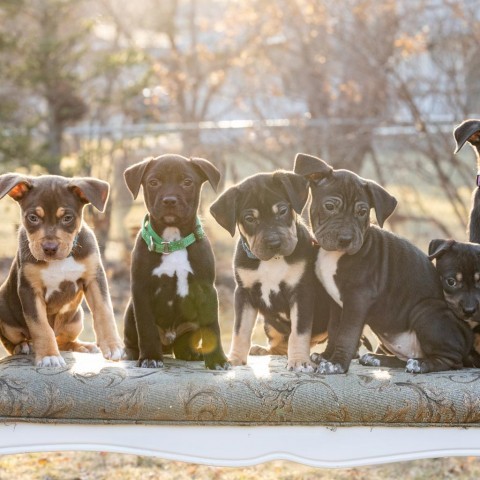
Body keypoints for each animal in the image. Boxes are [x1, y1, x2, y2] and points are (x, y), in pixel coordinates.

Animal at [0, 174, 124, 366]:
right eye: (33, 218)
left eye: (67, 218)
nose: (50, 248)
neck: (60, 261)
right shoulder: (29, 290)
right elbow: (41, 326)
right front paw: (49, 355)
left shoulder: (95, 279)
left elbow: (105, 312)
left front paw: (112, 346)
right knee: (13, 342)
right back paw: (23, 346)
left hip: (77, 319)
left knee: (63, 341)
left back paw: (83, 346)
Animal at [123, 152, 230, 370]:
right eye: (153, 182)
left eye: (187, 182)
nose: (170, 200)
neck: (172, 241)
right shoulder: (141, 290)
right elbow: (146, 327)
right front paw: (150, 357)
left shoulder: (207, 290)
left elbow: (212, 327)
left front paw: (217, 360)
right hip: (130, 310)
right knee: (133, 339)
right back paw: (131, 353)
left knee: (183, 344)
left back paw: (191, 353)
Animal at [210, 171, 334, 374]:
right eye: (250, 219)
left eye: (282, 211)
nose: (274, 243)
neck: (272, 261)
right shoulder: (244, 293)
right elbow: (240, 330)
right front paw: (235, 359)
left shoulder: (302, 293)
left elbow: (299, 332)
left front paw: (299, 361)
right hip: (269, 322)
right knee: (279, 346)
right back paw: (261, 350)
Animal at [292, 154, 472, 376]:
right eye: (330, 207)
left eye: (362, 212)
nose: (345, 239)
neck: (334, 255)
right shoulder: (336, 301)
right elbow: (335, 329)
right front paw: (326, 356)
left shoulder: (358, 298)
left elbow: (346, 333)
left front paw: (337, 364)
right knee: (409, 357)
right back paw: (377, 358)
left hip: (425, 311)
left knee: (451, 359)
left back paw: (421, 365)